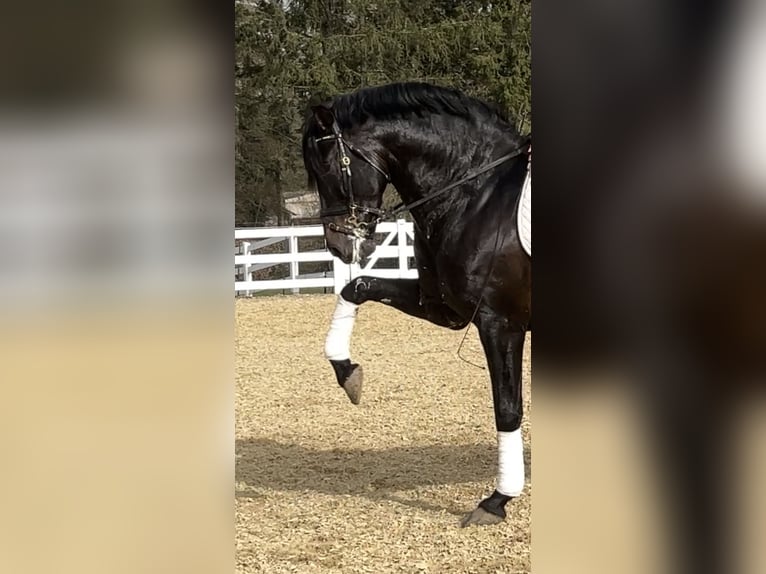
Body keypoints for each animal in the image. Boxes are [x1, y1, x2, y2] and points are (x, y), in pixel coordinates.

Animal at [302, 82, 531, 527]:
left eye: (327, 167)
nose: (338, 246)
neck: (475, 192)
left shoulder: (500, 323)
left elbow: (507, 409)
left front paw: (497, 500)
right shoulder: (443, 307)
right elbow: (357, 286)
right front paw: (347, 373)